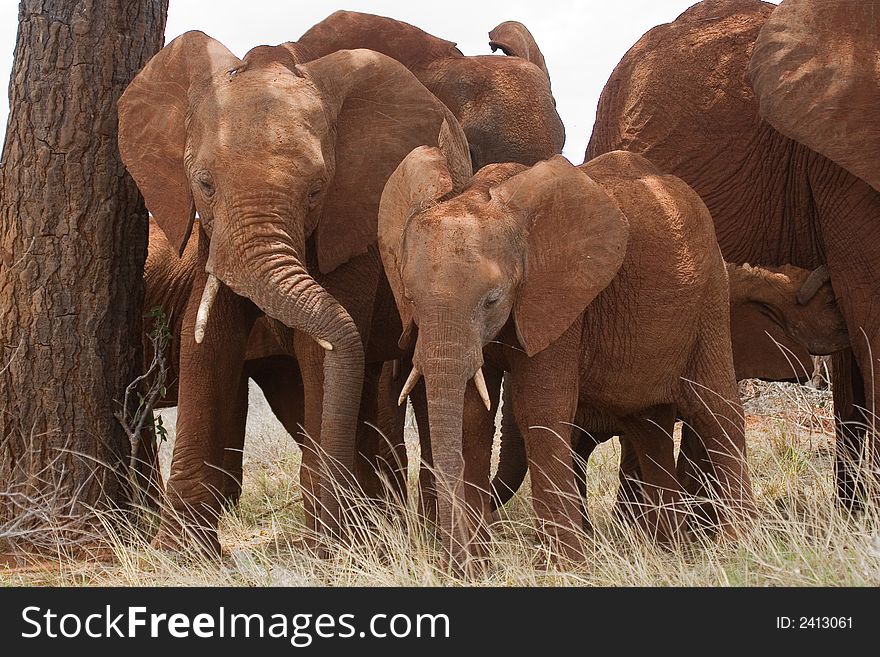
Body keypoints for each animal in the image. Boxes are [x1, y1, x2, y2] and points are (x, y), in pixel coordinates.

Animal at [121, 32, 474, 552]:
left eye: (316, 190)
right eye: (204, 184)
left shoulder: (353, 220)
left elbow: (318, 351)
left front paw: (329, 548)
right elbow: (207, 339)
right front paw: (180, 554)